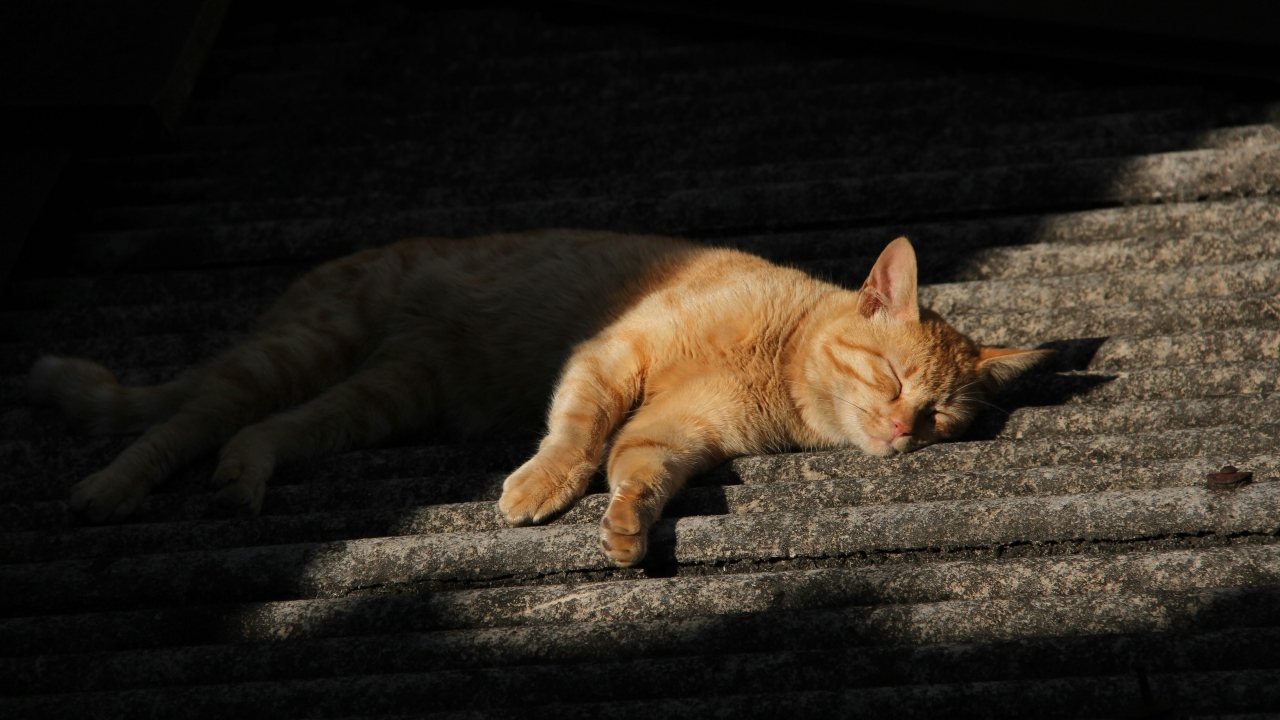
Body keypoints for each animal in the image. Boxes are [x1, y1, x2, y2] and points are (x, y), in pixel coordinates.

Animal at [27, 228, 1049, 561]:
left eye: (943, 415)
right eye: (892, 379)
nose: (903, 429)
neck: (777, 362)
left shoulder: (678, 430)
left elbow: (638, 468)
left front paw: (627, 526)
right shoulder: (612, 355)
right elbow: (577, 434)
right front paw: (540, 488)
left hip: (378, 398)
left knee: (264, 431)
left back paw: (243, 479)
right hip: (299, 347)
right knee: (184, 417)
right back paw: (110, 489)